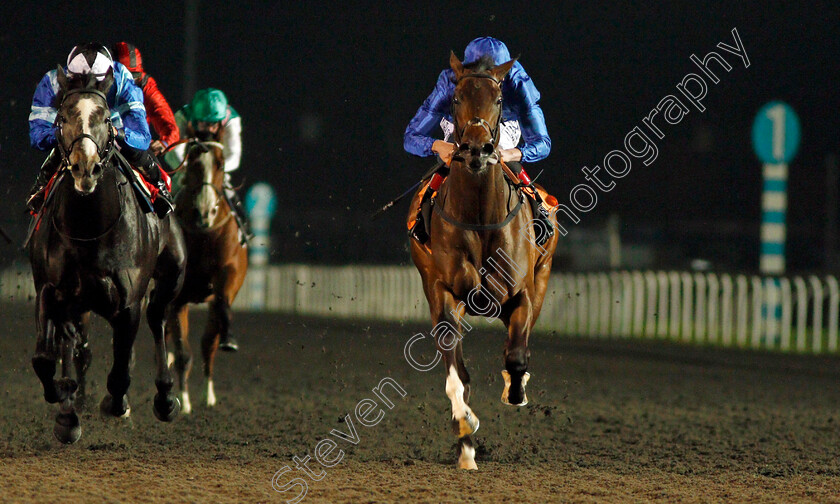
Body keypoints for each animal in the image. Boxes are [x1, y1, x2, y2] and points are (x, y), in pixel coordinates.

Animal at [30, 66, 188, 440]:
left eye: (104, 117)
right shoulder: (50, 290)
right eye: (63, 116)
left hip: (172, 273)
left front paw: (115, 404)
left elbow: (119, 372)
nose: (84, 168)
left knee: (157, 316)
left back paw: (165, 398)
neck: (89, 229)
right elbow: (44, 359)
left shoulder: (128, 303)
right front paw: (66, 409)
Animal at [165, 139, 248, 414]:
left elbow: (215, 326)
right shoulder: (176, 298)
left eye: (220, 164)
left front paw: (229, 340)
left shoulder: (227, 275)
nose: (205, 212)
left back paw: (208, 394)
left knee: (207, 343)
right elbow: (182, 352)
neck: (204, 237)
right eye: (192, 162)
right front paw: (183, 401)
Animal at [410, 53, 560, 470]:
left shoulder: (523, 292)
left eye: (497, 99)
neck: (479, 215)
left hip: (542, 277)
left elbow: (517, 355)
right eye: (457, 97)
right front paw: (465, 433)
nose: (477, 149)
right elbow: (456, 373)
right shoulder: (444, 292)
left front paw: (515, 390)